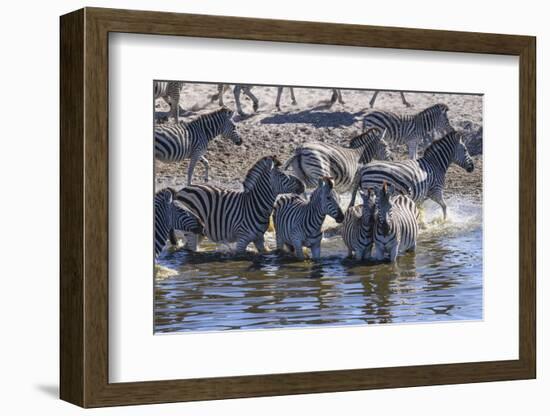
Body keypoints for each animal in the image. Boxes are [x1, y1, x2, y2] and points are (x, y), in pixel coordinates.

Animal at [176, 156, 304, 254]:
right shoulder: (242, 239)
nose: (303, 184)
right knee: (191, 249)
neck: (256, 205)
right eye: (282, 174)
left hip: (199, 232)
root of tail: (183, 189)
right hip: (191, 231)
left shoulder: (259, 238)